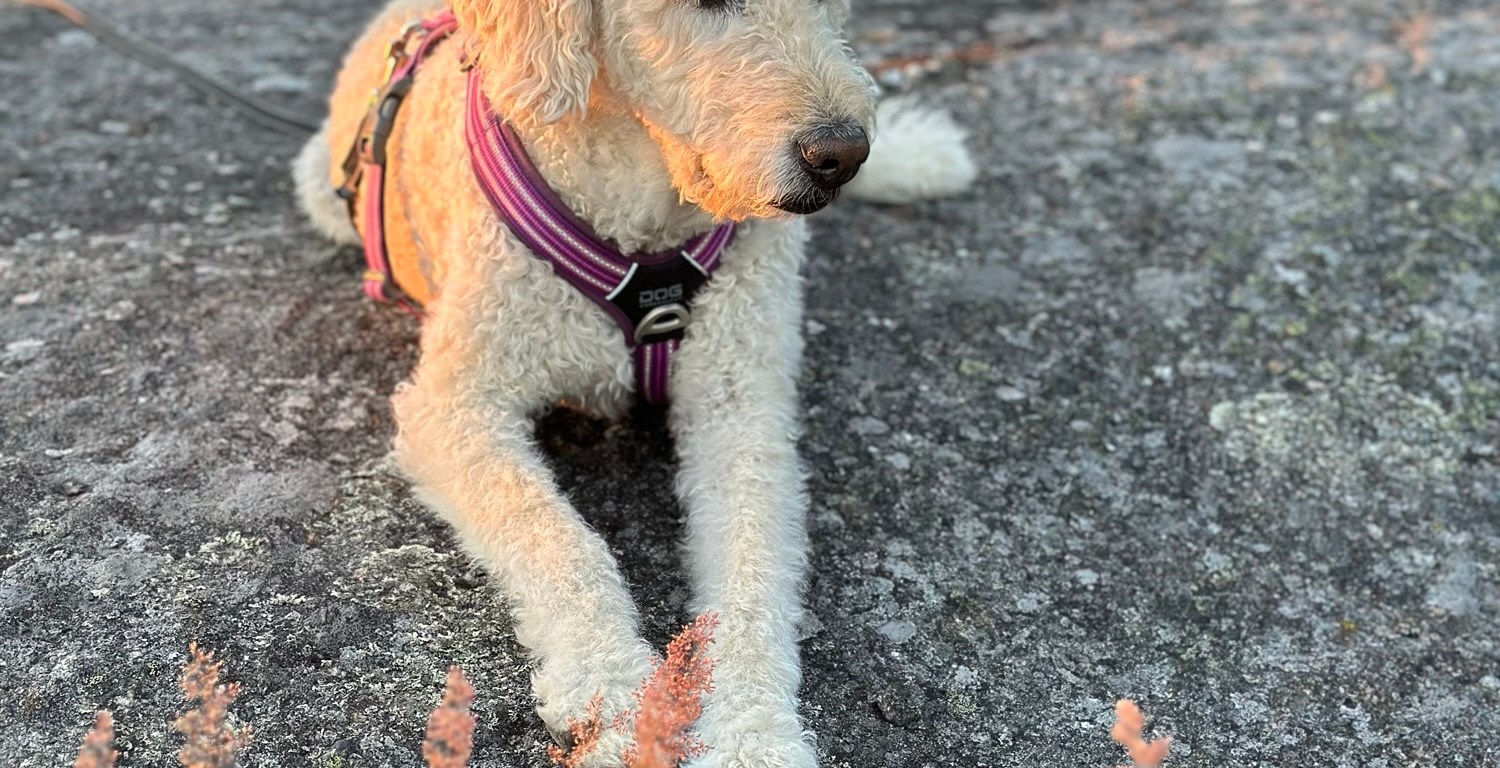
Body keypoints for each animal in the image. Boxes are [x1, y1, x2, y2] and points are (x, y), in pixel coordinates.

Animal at [293, 0, 973, 764]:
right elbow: (558, 540)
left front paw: (754, 736)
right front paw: (613, 693)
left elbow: (753, 573)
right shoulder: (454, 407)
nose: (842, 154)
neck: (647, 204)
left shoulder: (741, 406)